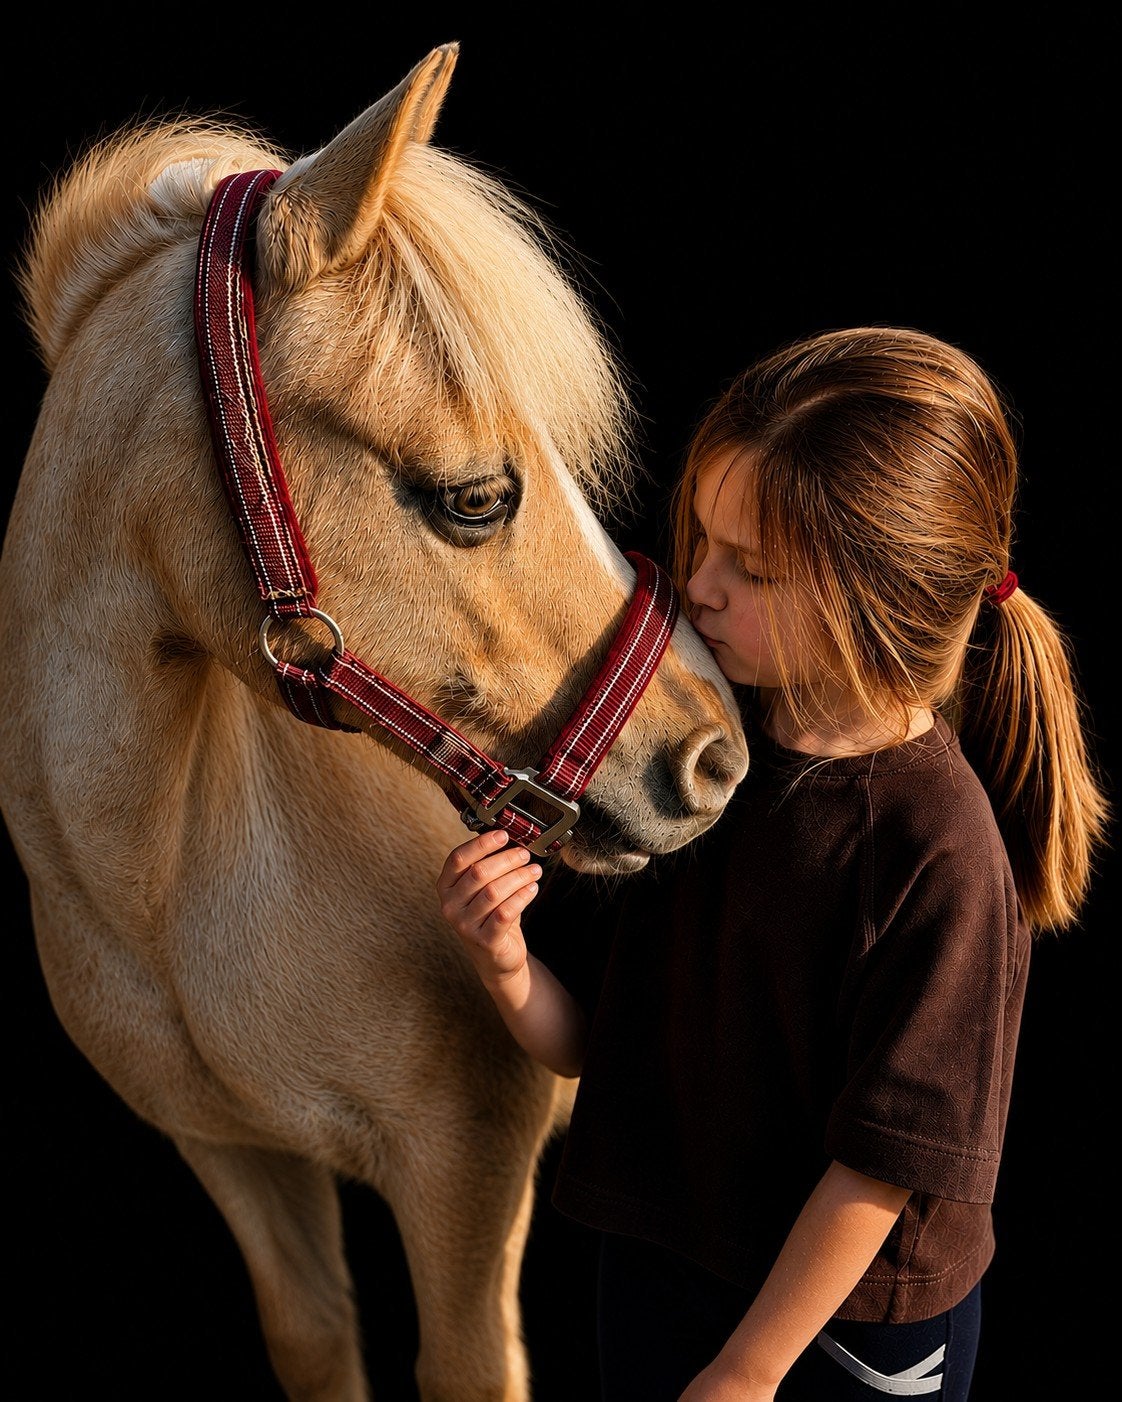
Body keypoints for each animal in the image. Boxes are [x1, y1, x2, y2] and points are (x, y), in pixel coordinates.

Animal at [0, 44, 748, 1401]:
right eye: (475, 496)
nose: (715, 757)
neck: (173, 879)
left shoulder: (469, 1168)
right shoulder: (235, 1157)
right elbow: (315, 1338)